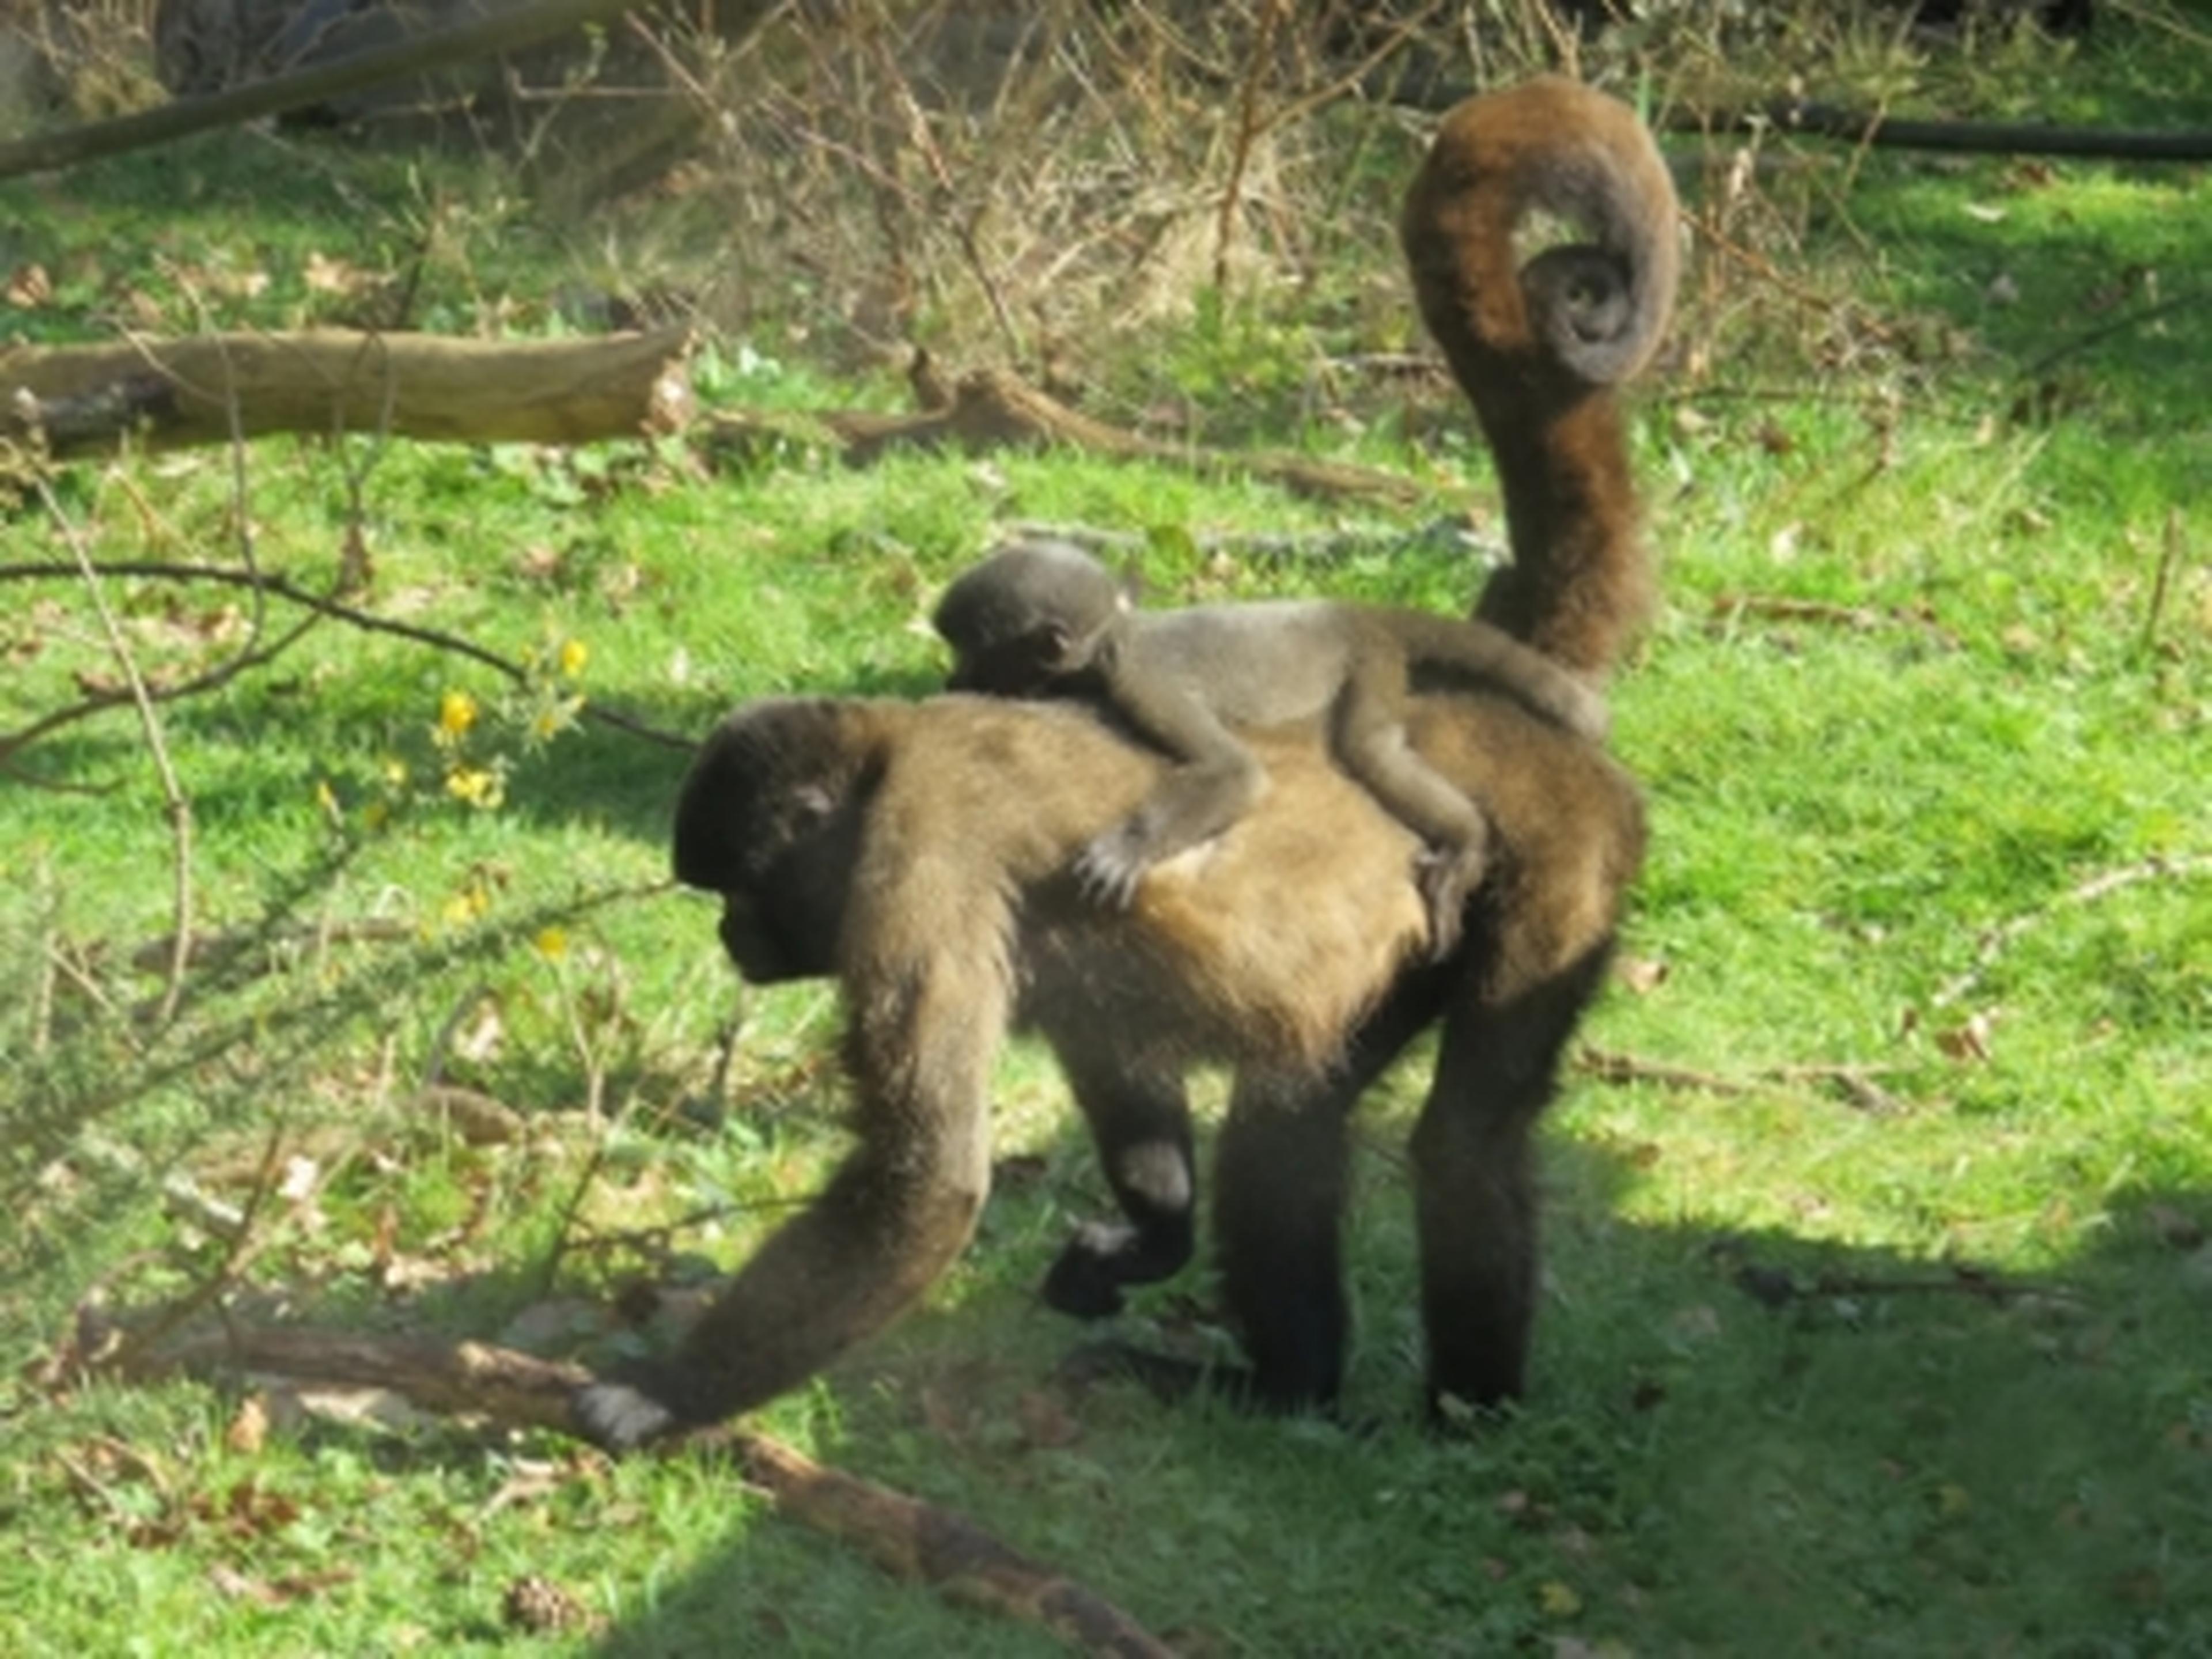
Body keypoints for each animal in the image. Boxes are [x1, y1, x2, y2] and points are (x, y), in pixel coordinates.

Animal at [931, 538, 1612, 959]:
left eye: (969, 648)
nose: (951, 677)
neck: (1110, 643)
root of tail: (1354, 610)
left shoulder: (1141, 682)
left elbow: (1236, 773)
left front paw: (1130, 850)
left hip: (1371, 664)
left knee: (1368, 749)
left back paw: (1466, 843)